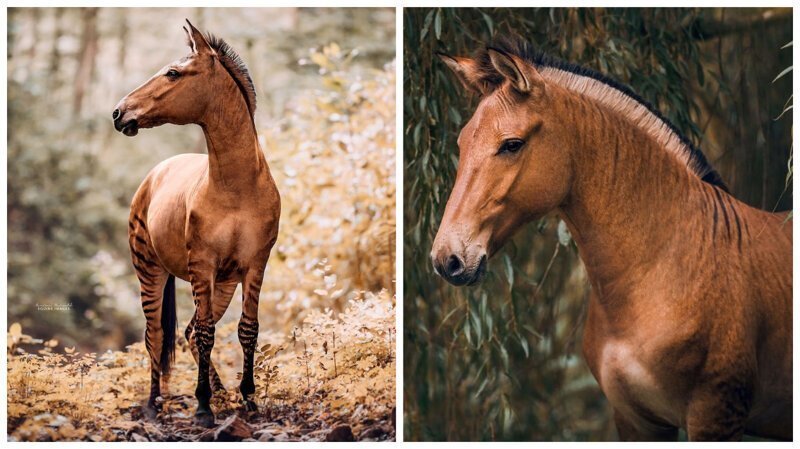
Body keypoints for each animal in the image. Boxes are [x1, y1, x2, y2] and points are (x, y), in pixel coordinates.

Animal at [109, 20, 278, 428]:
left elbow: (246, 330)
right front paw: (203, 407)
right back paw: (153, 404)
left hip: (225, 283)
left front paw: (248, 401)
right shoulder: (202, 266)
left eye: (173, 73)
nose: (119, 113)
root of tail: (155, 174)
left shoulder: (254, 265)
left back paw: (219, 392)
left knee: (185, 330)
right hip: (149, 270)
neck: (237, 186)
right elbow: (204, 334)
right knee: (156, 334)